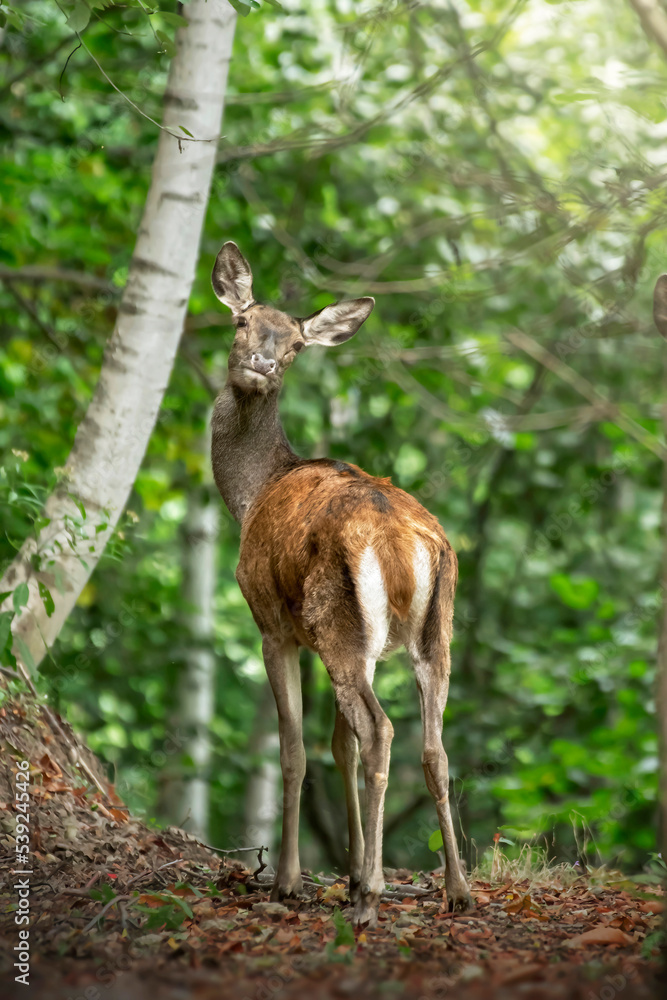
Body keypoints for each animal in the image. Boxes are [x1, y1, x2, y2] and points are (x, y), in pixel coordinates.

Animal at [211, 244, 472, 928]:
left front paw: (292, 881)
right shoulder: (357, 645)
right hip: (430, 632)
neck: (249, 495)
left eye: (296, 344)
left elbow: (297, 749)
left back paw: (373, 899)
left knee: (380, 732)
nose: (261, 362)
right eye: (242, 322)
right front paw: (350, 872)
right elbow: (338, 746)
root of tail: (404, 545)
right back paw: (457, 888)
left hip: (339, 623)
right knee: (432, 745)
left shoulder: (273, 623)